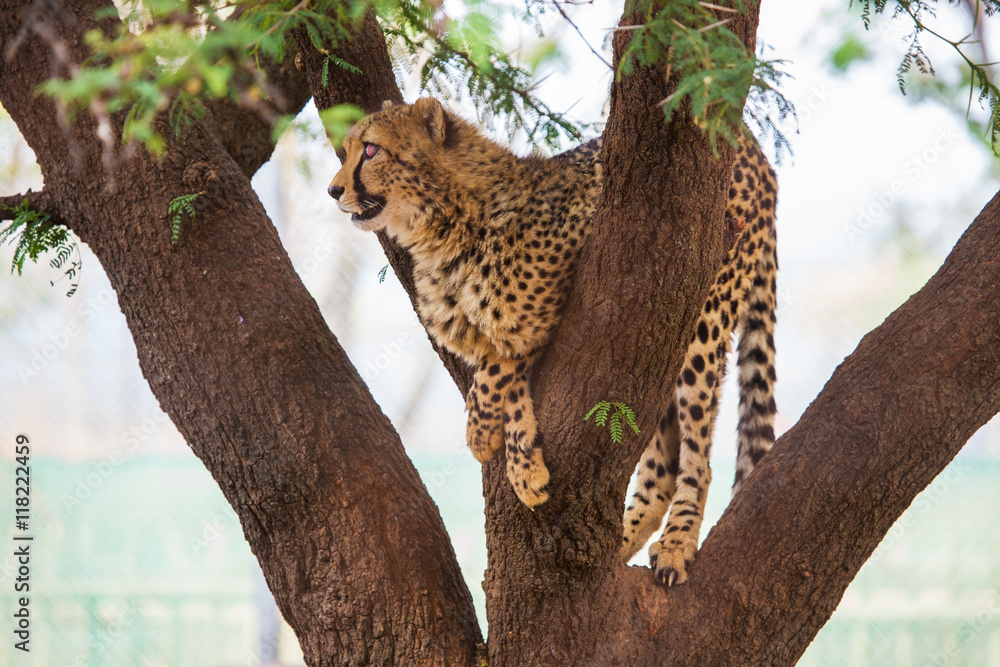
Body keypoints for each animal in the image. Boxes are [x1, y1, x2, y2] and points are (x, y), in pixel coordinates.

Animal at [328, 97, 778, 586]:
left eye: (371, 150)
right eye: (345, 151)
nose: (333, 190)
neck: (444, 223)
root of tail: (752, 145)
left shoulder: (575, 277)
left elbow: (499, 362)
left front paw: (481, 433)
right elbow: (507, 375)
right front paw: (523, 464)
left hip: (697, 314)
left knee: (698, 457)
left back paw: (678, 543)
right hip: (656, 339)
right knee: (661, 463)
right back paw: (618, 543)